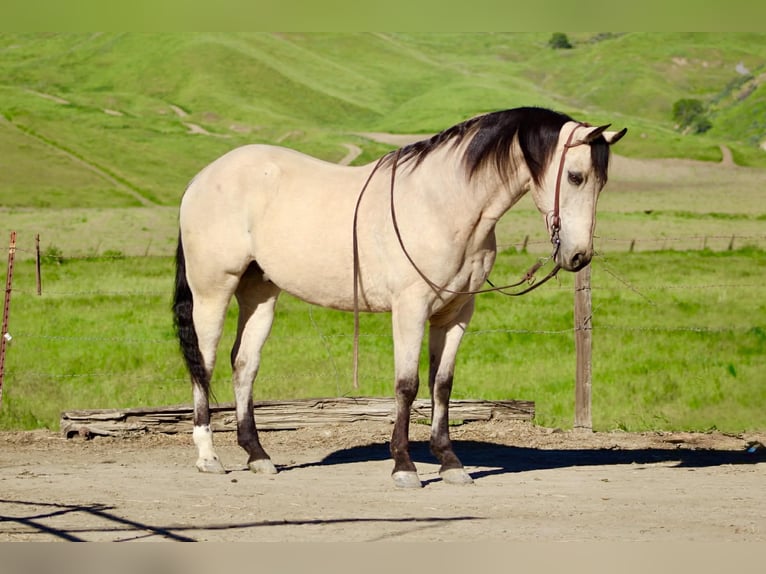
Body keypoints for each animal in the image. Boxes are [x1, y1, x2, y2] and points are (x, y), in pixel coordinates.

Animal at [173, 106, 626, 488]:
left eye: (602, 181)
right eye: (576, 176)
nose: (578, 256)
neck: (444, 204)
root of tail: (201, 179)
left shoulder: (456, 313)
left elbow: (442, 385)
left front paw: (450, 463)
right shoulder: (410, 309)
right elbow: (407, 385)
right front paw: (404, 466)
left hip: (260, 293)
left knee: (244, 365)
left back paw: (258, 456)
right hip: (213, 291)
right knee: (204, 364)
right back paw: (208, 457)